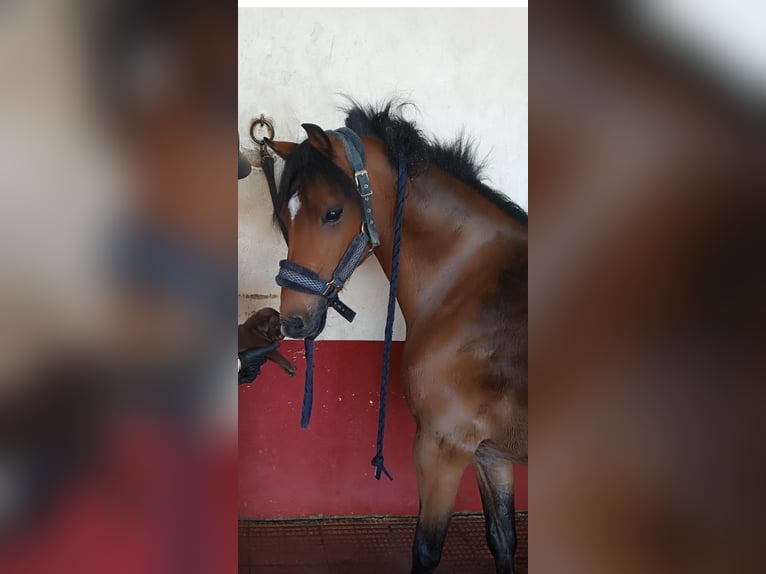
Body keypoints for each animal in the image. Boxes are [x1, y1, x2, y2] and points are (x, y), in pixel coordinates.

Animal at [266, 102, 527, 574]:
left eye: (333, 213)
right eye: (284, 219)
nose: (292, 322)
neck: (472, 288)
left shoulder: (442, 447)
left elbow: (426, 549)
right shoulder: (491, 454)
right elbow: (502, 540)